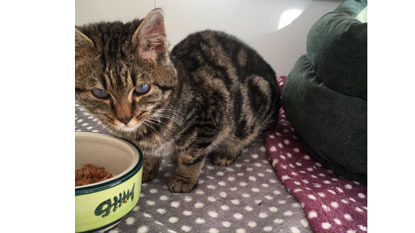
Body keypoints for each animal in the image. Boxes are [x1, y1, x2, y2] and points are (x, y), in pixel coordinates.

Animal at [76, 8, 282, 193]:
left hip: (253, 107)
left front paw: (185, 178)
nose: (124, 118)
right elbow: (149, 156)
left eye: (142, 88)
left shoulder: (209, 116)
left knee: (246, 135)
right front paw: (146, 171)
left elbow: (192, 155)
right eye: (100, 93)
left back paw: (227, 152)